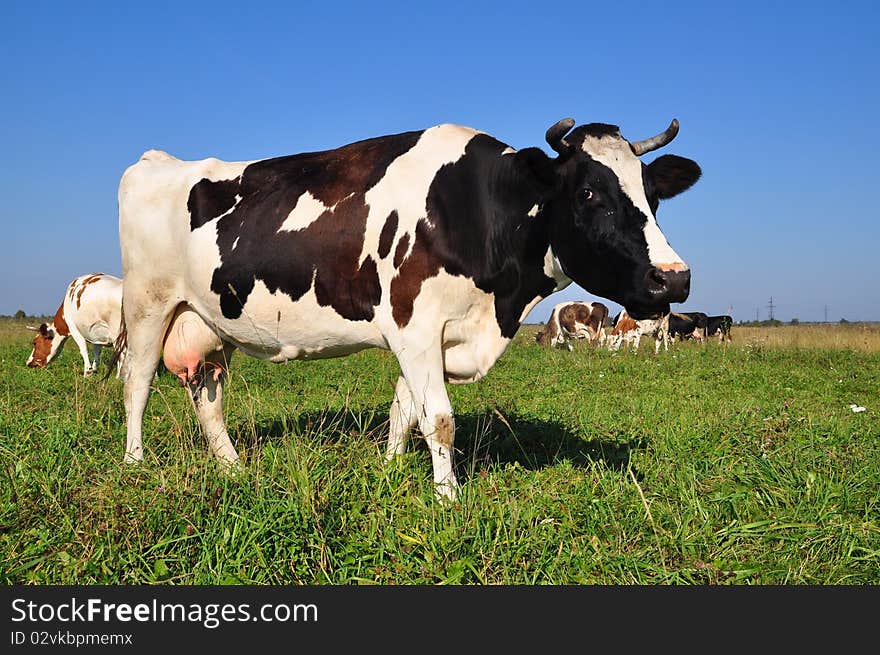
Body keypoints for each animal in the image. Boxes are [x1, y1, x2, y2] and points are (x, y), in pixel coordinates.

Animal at [111, 115, 700, 502]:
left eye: (652, 195)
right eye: (587, 193)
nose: (673, 278)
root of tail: (155, 162)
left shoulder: (423, 334)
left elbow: (405, 410)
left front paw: (391, 471)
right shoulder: (415, 323)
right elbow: (439, 418)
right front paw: (448, 498)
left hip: (211, 322)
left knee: (207, 396)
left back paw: (232, 468)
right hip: (147, 304)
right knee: (137, 382)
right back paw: (135, 461)